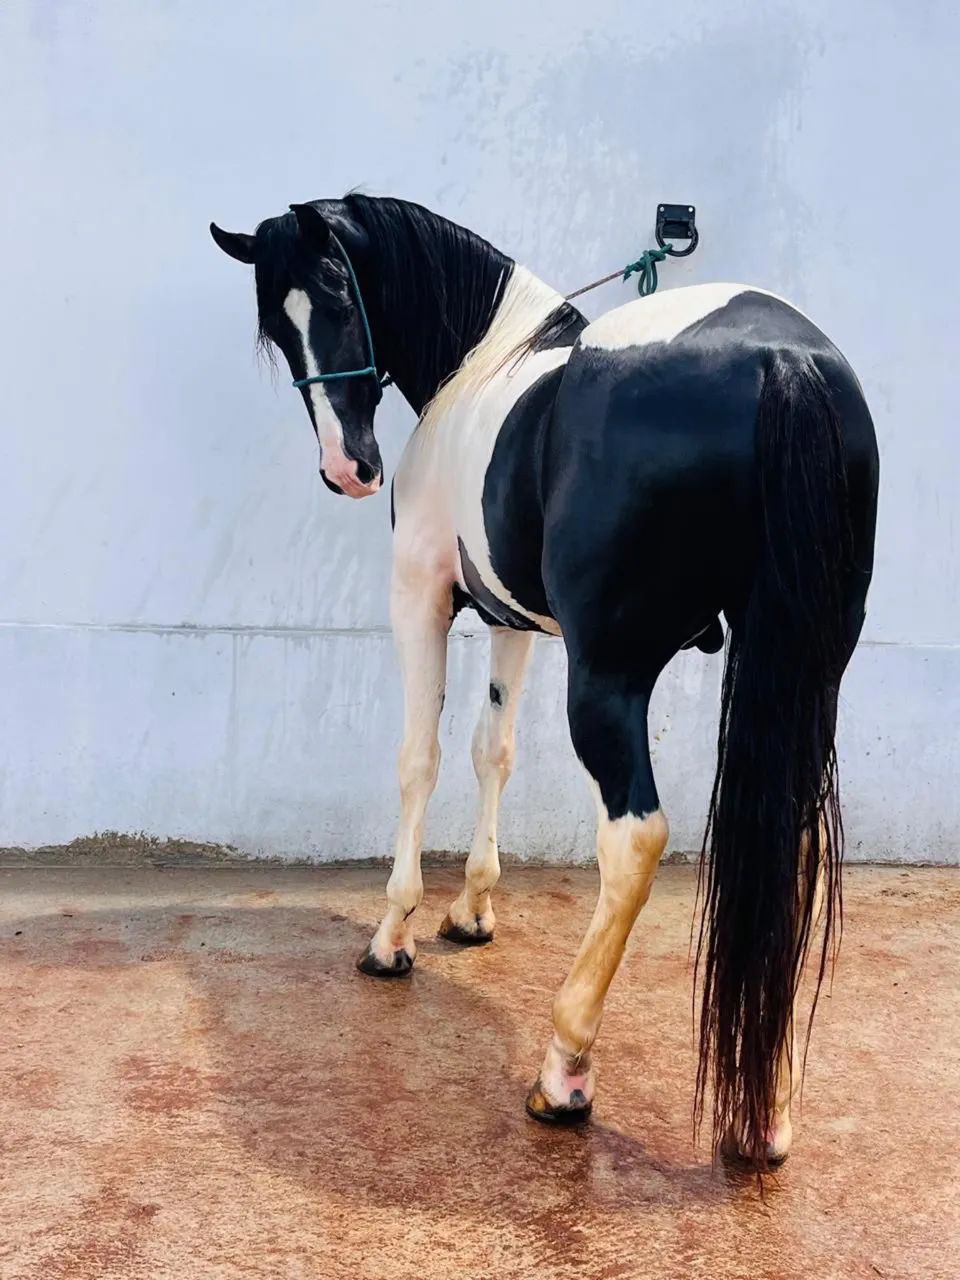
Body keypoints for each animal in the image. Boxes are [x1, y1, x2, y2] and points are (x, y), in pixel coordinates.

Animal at [210, 195, 879, 1171]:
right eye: (274, 324)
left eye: (335, 296)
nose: (348, 470)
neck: (484, 359)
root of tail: (779, 360)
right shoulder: (511, 623)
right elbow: (494, 750)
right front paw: (472, 911)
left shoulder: (422, 597)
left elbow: (420, 758)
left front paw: (394, 934)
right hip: (802, 671)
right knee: (788, 846)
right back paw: (767, 1109)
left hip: (611, 677)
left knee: (635, 839)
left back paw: (565, 1067)